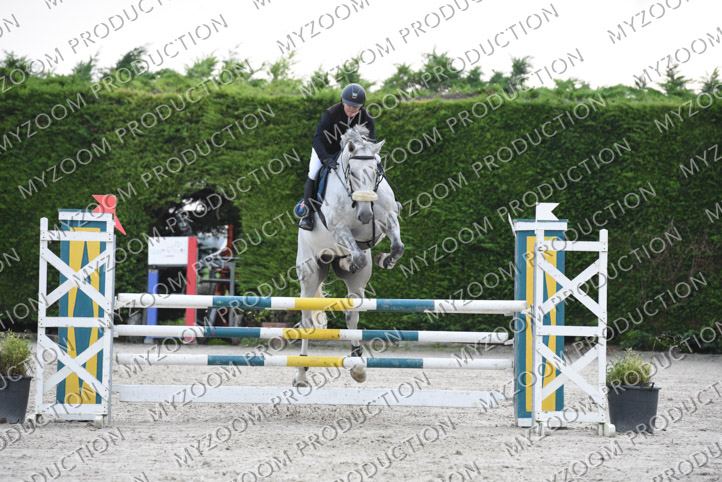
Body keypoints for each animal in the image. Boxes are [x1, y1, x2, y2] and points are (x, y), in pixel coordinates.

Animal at [294, 125, 405, 387]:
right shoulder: (339, 229)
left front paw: (386, 259)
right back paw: (301, 373)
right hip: (309, 272)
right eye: (351, 173)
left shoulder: (389, 220)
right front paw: (354, 259)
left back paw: (358, 366)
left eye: (376, 171)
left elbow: (397, 247)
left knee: (352, 316)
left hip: (356, 284)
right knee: (307, 321)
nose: (365, 215)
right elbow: (359, 254)